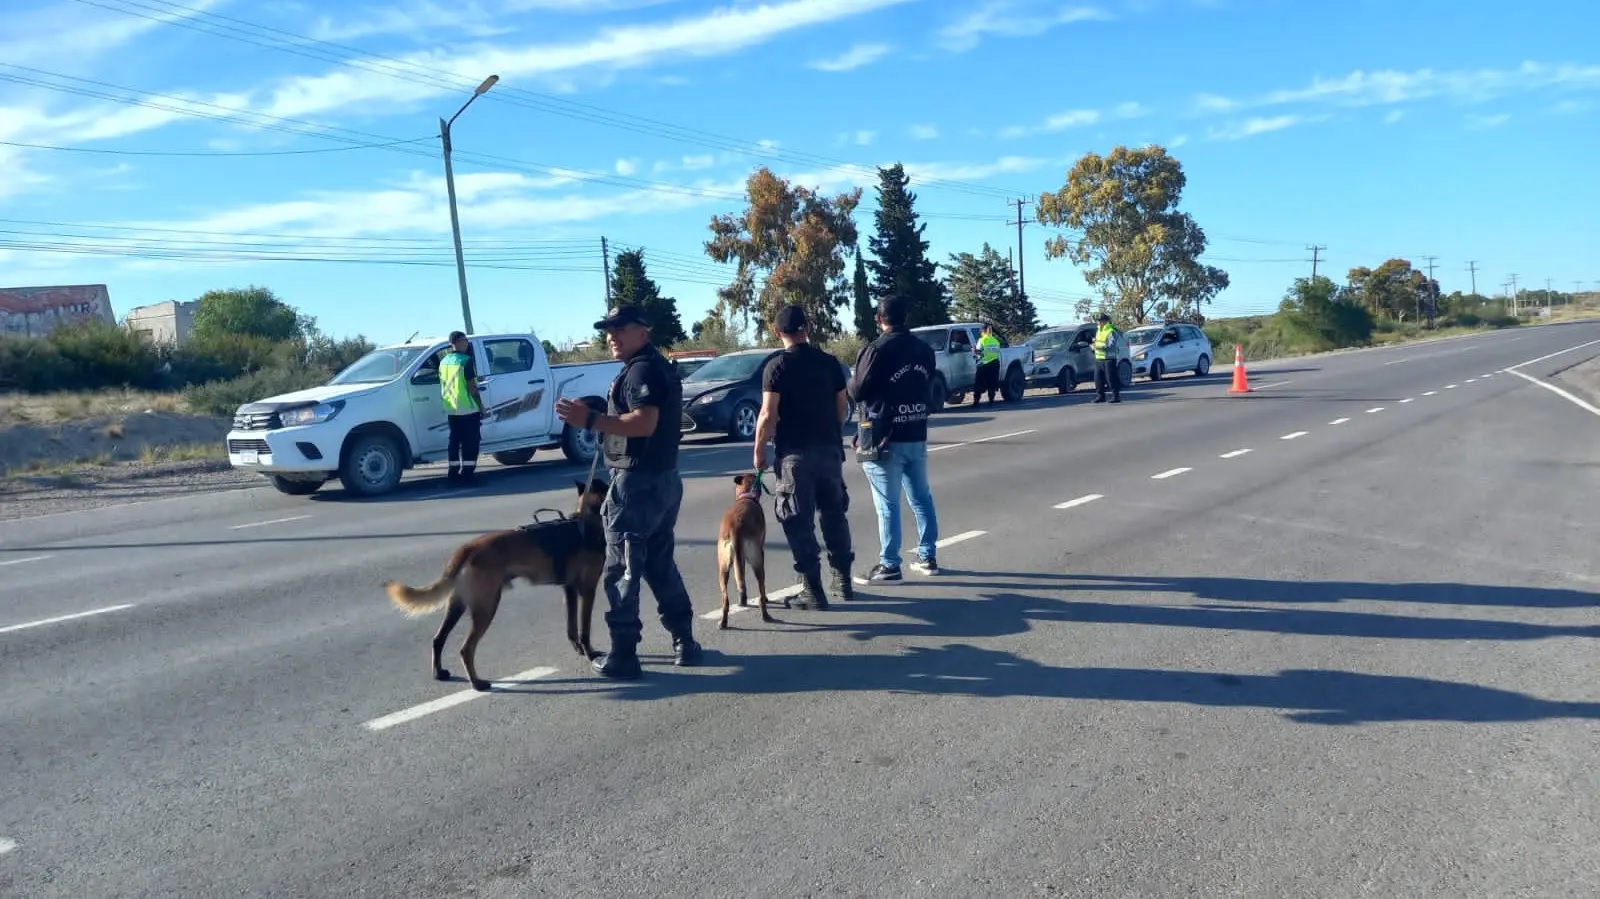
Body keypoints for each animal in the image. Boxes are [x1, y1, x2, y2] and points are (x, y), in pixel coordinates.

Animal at [384, 479, 608, 687]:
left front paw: (578, 649)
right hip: (487, 606)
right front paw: (590, 654)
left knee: (439, 639)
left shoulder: (569, 590)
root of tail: (467, 549)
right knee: (466, 649)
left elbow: (572, 628)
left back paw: (439, 673)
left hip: (457, 605)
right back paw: (477, 683)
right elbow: (584, 629)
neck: (586, 522)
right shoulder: (587, 590)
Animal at [723, 473, 777, 627]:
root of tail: (735, 528)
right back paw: (766, 614)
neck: (746, 496)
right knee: (761, 590)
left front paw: (743, 600)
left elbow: (741, 581)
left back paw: (723, 622)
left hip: (723, 567)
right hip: (757, 561)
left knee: (726, 599)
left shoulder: (739, 560)